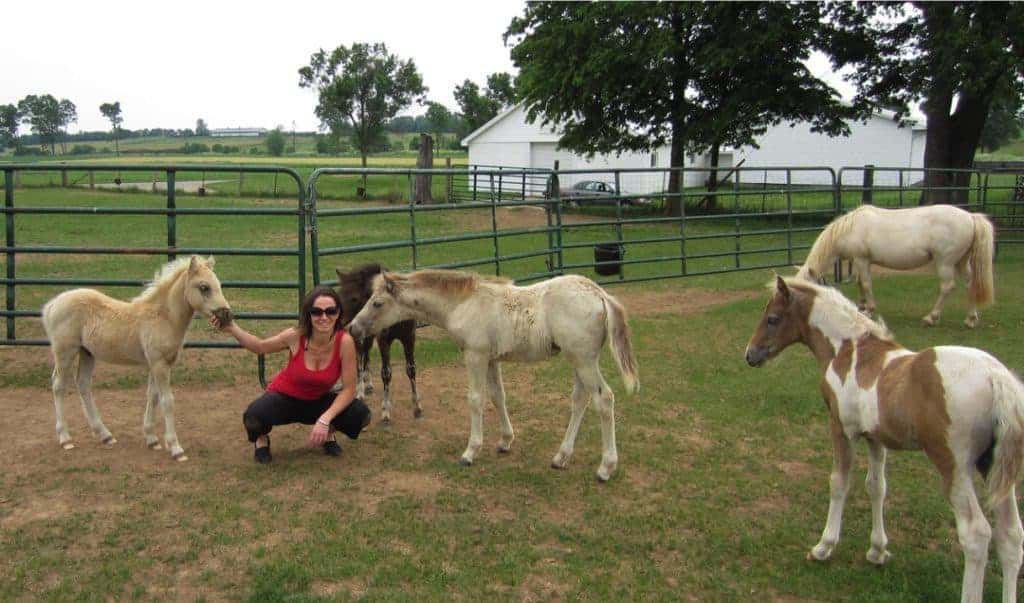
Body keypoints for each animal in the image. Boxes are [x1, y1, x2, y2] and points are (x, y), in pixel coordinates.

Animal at [41, 255, 233, 461]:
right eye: (204, 287)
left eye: (219, 285)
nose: (227, 316)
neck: (163, 317)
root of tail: (53, 303)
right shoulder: (159, 364)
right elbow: (167, 401)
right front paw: (175, 448)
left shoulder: (157, 364)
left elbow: (153, 397)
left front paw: (152, 439)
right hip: (65, 351)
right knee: (59, 385)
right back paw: (65, 438)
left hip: (87, 353)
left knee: (83, 384)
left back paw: (105, 435)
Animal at [336, 264, 421, 424]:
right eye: (339, 295)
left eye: (354, 298)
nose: (343, 324)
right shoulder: (384, 342)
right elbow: (386, 373)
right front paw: (385, 412)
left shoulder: (409, 339)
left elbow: (411, 369)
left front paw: (417, 407)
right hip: (360, 337)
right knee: (360, 358)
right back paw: (360, 391)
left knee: (366, 354)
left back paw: (368, 384)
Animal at [347, 269, 639, 482]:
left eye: (377, 303)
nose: (352, 328)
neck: (463, 304)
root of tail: (600, 294)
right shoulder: (490, 359)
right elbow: (498, 397)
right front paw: (505, 441)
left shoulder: (475, 356)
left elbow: (476, 400)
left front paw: (470, 451)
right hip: (579, 360)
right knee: (580, 400)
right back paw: (560, 457)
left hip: (584, 361)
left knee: (604, 399)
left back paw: (605, 468)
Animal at [745, 275, 1024, 602]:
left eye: (773, 318)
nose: (750, 354)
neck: (849, 350)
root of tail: (997, 377)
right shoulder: (875, 438)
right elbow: (876, 487)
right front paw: (877, 551)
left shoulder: (841, 428)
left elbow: (839, 483)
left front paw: (824, 547)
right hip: (992, 466)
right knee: (1011, 535)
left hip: (954, 466)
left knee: (977, 534)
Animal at [795, 204, 994, 328]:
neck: (849, 228)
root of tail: (970, 217)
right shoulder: (861, 261)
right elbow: (860, 283)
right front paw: (861, 306)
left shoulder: (861, 259)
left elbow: (866, 284)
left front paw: (869, 310)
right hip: (960, 262)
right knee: (970, 284)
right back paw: (970, 319)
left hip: (945, 262)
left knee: (947, 287)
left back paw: (931, 318)